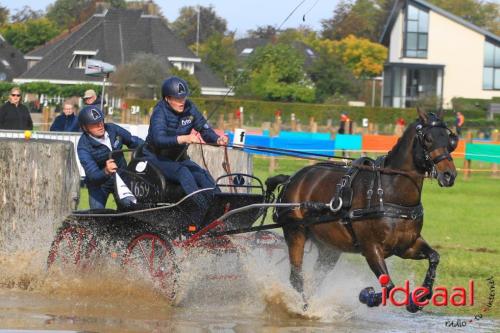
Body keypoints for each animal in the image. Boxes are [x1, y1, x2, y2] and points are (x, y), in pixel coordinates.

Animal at [266, 108, 458, 312]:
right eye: (428, 139)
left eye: (450, 140)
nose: (449, 175)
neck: (389, 193)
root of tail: (291, 179)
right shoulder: (371, 248)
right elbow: (389, 286)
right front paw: (369, 296)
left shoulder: (406, 245)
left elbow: (434, 257)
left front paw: (420, 298)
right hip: (296, 232)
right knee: (296, 277)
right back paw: (304, 308)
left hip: (329, 247)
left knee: (316, 278)